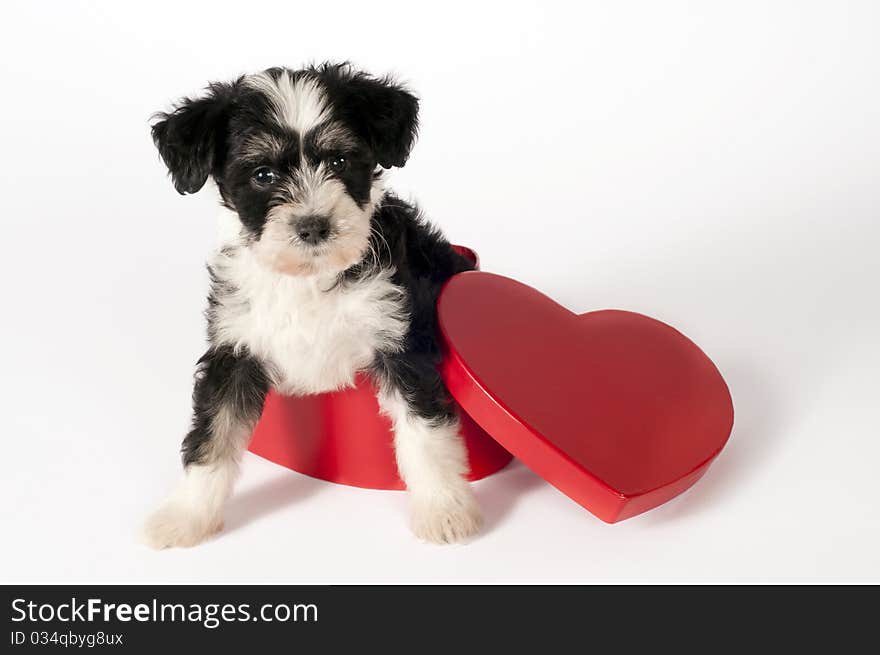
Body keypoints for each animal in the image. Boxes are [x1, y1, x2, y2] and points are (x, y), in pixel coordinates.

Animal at [144, 62, 482, 548]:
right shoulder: (235, 349)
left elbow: (424, 431)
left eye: (339, 161)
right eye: (263, 175)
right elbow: (213, 433)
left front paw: (444, 510)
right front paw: (185, 515)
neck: (306, 278)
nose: (314, 226)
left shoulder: (401, 340)